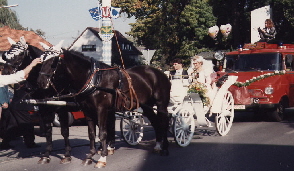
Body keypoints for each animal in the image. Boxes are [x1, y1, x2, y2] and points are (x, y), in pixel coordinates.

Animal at [37, 42, 171, 167]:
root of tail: (160, 73)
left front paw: (102, 158)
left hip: (161, 104)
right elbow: (91, 134)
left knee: (164, 122)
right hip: (146, 105)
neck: (94, 79)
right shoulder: (88, 111)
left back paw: (164, 149)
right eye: (41, 60)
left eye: (54, 61)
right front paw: (90, 156)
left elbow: (102, 133)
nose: (41, 82)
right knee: (156, 122)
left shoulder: (101, 109)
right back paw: (158, 146)